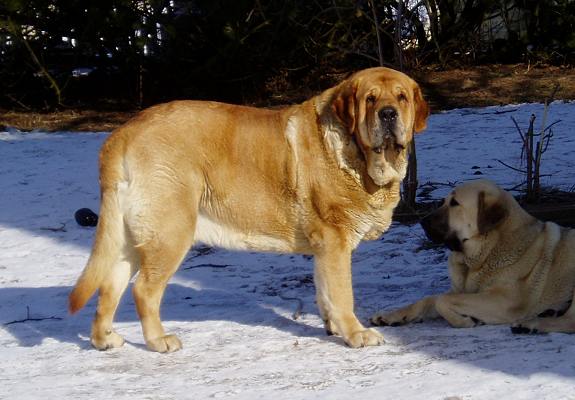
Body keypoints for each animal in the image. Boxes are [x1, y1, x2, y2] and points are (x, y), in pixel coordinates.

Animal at [70, 67, 430, 352]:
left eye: (401, 97)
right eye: (370, 99)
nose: (388, 114)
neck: (355, 153)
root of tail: (122, 134)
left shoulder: (324, 249)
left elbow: (324, 291)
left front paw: (332, 327)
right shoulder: (334, 241)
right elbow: (342, 295)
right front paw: (355, 333)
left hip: (131, 238)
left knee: (109, 287)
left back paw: (104, 340)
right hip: (171, 233)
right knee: (143, 291)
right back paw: (159, 341)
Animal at [368, 179, 575, 334]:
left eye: (454, 203)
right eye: (443, 201)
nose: (422, 221)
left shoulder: (504, 301)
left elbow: (442, 300)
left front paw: (465, 320)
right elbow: (429, 299)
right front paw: (392, 315)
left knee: (570, 322)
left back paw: (530, 324)